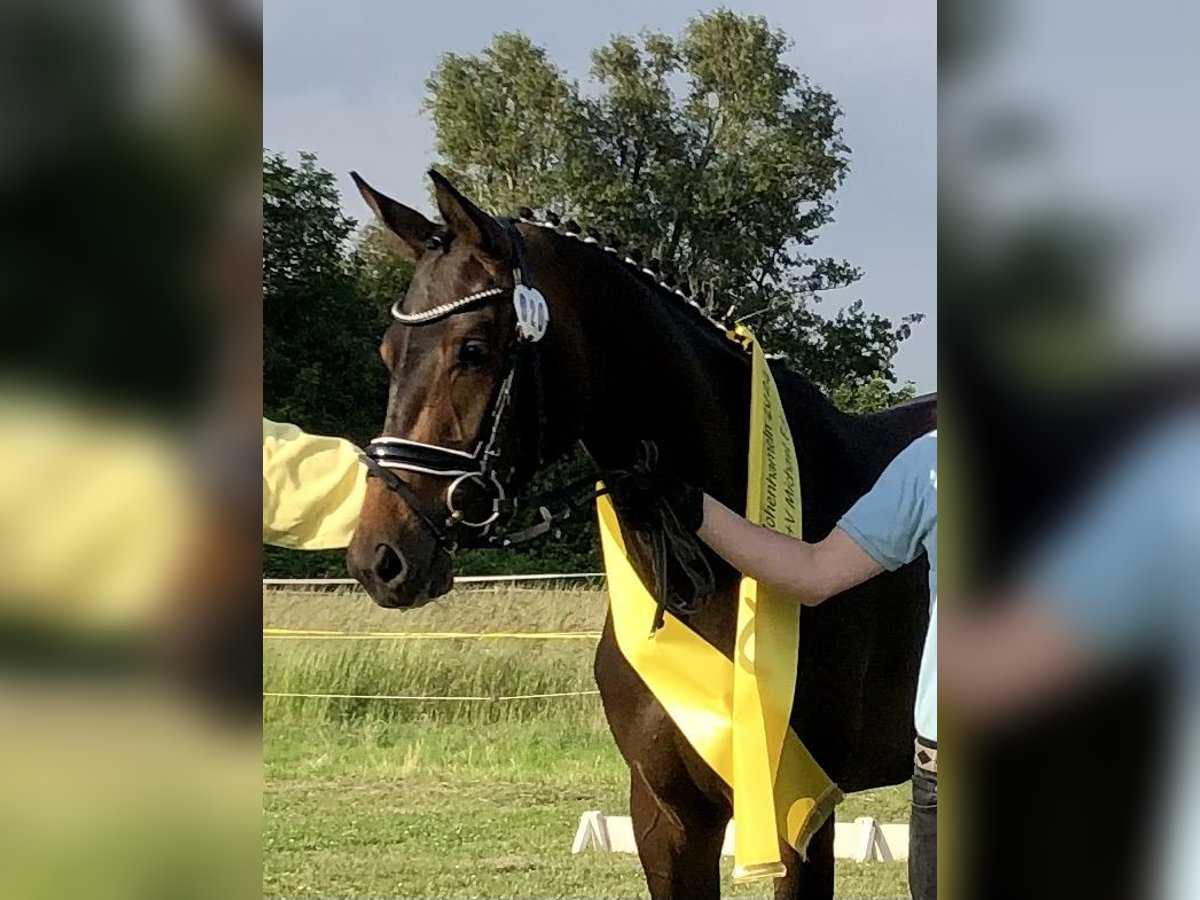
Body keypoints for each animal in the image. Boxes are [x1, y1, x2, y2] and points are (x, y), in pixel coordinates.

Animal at [343, 170, 931, 900]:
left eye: (473, 350)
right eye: (387, 353)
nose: (380, 557)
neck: (698, 581)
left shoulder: (798, 815)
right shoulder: (665, 815)